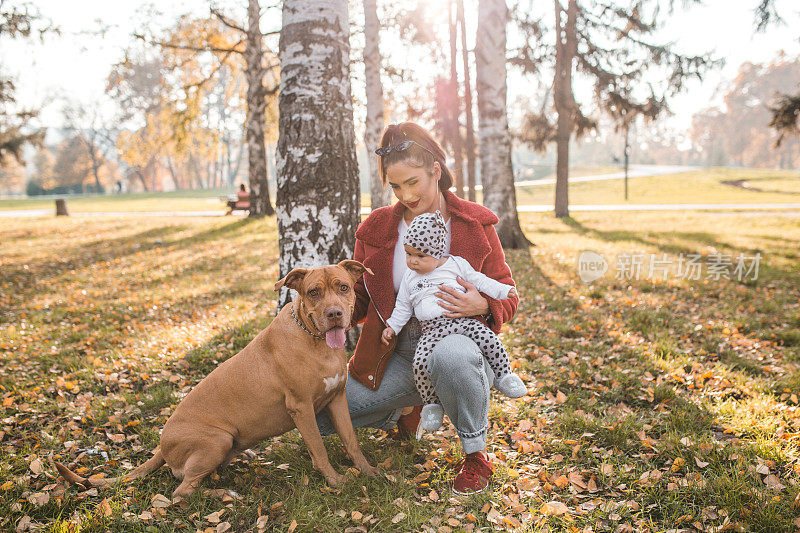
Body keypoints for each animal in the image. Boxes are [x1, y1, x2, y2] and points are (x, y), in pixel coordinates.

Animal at [55, 260, 378, 496]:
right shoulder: (301, 407)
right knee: (182, 492)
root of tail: (161, 446)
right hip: (217, 439)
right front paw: (335, 481)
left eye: (344, 287)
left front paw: (369, 471)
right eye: (313, 292)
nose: (334, 314)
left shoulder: (337, 398)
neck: (315, 341)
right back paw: (225, 495)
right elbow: (319, 450)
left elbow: (351, 440)